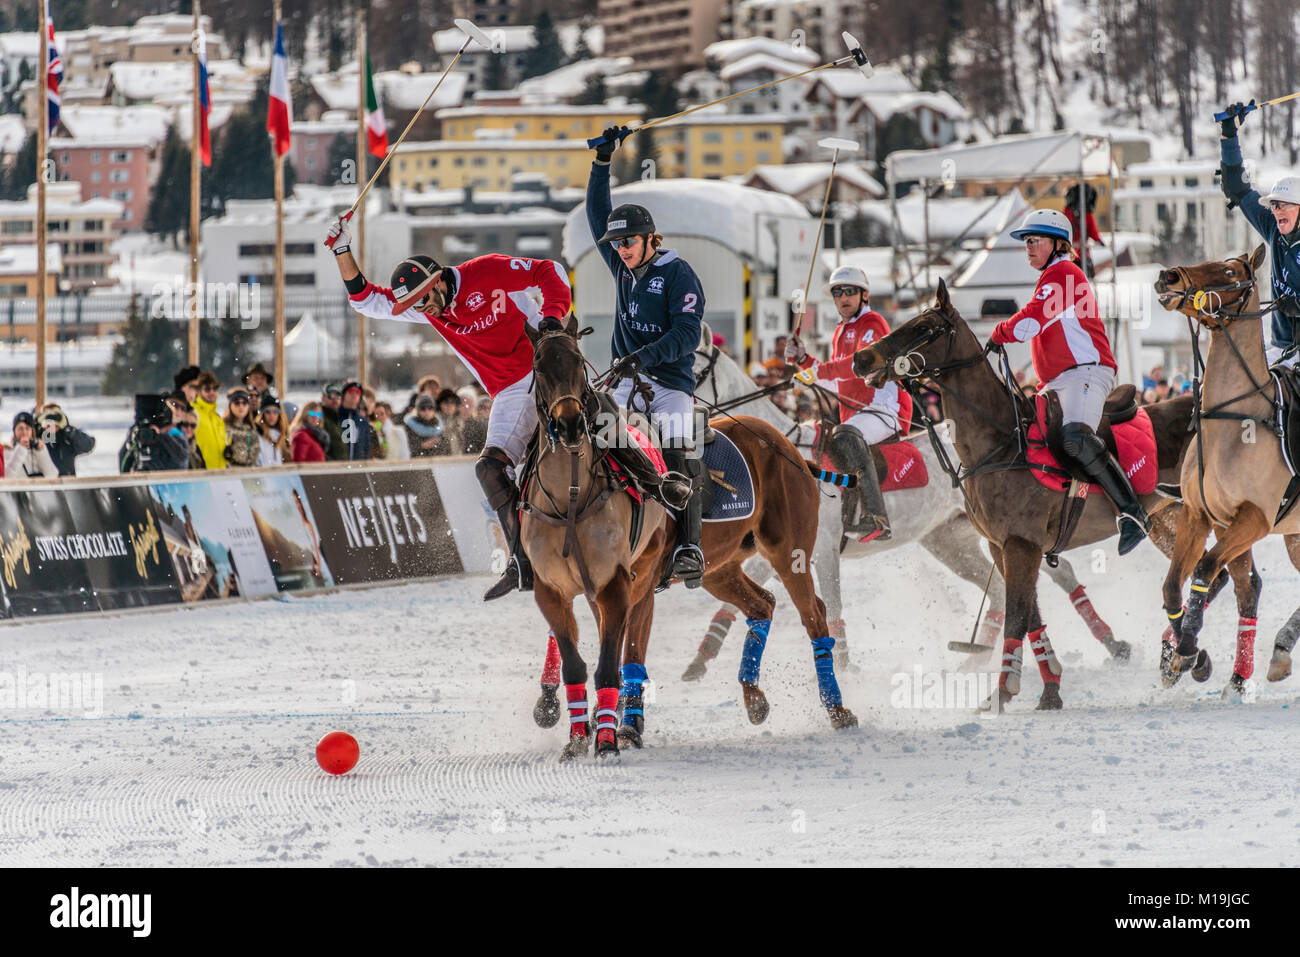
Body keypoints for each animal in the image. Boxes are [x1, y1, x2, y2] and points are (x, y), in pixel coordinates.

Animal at [522, 321, 857, 764]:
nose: (571, 425)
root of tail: (790, 446)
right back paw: (754, 698)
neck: (570, 498)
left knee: (815, 615)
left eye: (577, 361)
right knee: (762, 604)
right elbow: (585, 655)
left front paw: (625, 729)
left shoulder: (631, 585)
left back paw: (837, 709)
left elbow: (626, 656)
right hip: (719, 566)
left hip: (791, 551)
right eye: (538, 366)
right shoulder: (560, 589)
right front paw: (587, 730)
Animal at [852, 278, 1237, 712]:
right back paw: (1183, 655)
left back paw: (1185, 655)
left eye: (923, 327)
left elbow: (1018, 614)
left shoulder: (1022, 543)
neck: (999, 443)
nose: (861, 358)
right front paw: (1048, 688)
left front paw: (1003, 691)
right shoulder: (1003, 546)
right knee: (1212, 576)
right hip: (1165, 519)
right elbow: (1030, 615)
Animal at [1154, 248, 1300, 696]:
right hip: (1293, 536)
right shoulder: (1203, 516)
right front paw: (1185, 656)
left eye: (1231, 270)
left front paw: (1187, 646)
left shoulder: (1254, 518)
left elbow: (1204, 570)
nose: (1168, 276)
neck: (1232, 420)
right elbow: (1175, 585)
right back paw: (1257, 666)